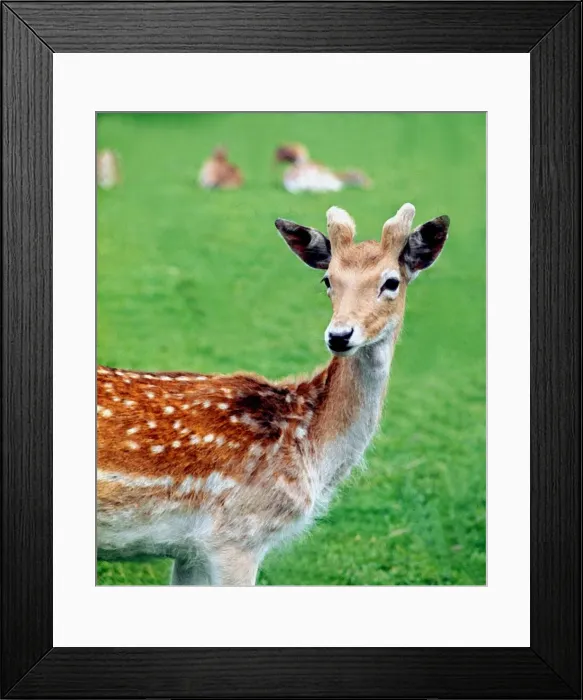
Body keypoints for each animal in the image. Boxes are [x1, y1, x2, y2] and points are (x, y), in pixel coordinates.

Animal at [97, 203, 449, 586]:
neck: (309, 445)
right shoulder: (236, 535)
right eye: (328, 280)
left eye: (391, 282)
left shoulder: (190, 550)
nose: (339, 335)